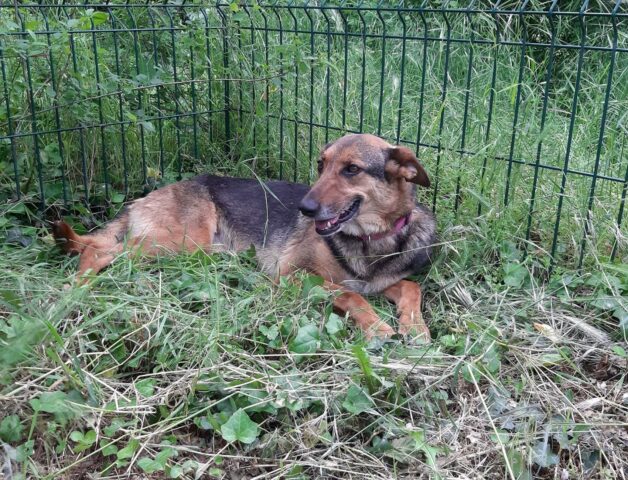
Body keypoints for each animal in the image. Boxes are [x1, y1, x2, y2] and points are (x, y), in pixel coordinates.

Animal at [52, 133, 436, 340]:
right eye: (321, 164)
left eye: (352, 169)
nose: (304, 208)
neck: (371, 240)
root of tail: (143, 198)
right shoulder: (293, 276)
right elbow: (352, 296)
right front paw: (378, 327)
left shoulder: (381, 281)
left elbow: (410, 288)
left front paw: (416, 327)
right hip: (181, 245)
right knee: (99, 251)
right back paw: (74, 287)